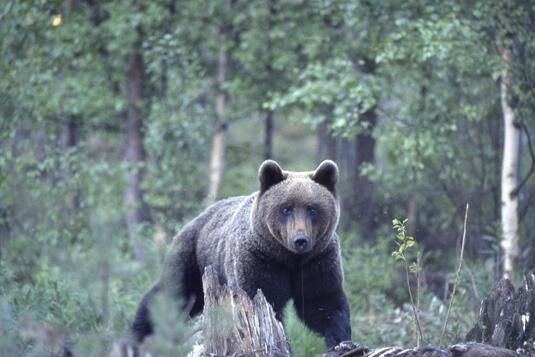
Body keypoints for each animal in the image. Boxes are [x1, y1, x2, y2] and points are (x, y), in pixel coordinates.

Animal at [131, 159, 352, 348]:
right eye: (286, 208)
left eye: (312, 209)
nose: (300, 240)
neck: (287, 258)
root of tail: (198, 217)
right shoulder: (258, 259)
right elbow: (262, 300)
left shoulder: (317, 259)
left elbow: (323, 302)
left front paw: (340, 341)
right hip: (192, 257)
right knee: (170, 295)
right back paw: (138, 335)